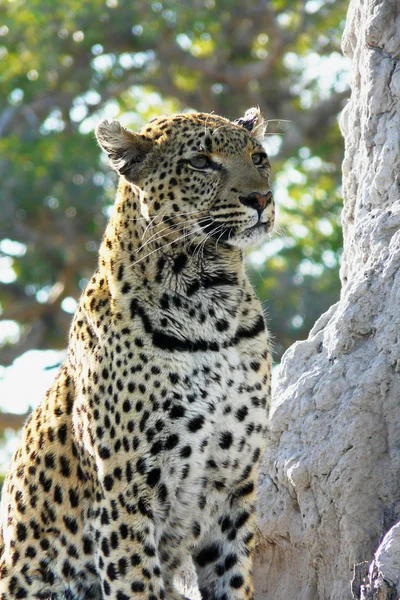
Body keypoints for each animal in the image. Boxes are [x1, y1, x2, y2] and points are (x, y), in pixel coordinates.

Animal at [0, 108, 276, 600]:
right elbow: (134, 582)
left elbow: (233, 577)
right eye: (201, 162)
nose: (261, 197)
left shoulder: (235, 487)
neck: (211, 299)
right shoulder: (127, 495)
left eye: (258, 157)